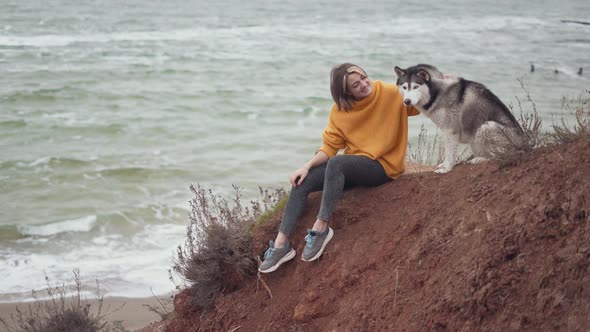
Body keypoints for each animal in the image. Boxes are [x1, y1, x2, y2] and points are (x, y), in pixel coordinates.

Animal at [396, 65, 524, 174]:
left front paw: (446, 169)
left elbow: (450, 152)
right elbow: (448, 152)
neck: (436, 93)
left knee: (500, 155)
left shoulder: (450, 130)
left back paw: (480, 159)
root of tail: (525, 144)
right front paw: (444, 165)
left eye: (416, 86)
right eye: (404, 87)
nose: (407, 101)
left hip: (487, 127)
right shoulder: (446, 130)